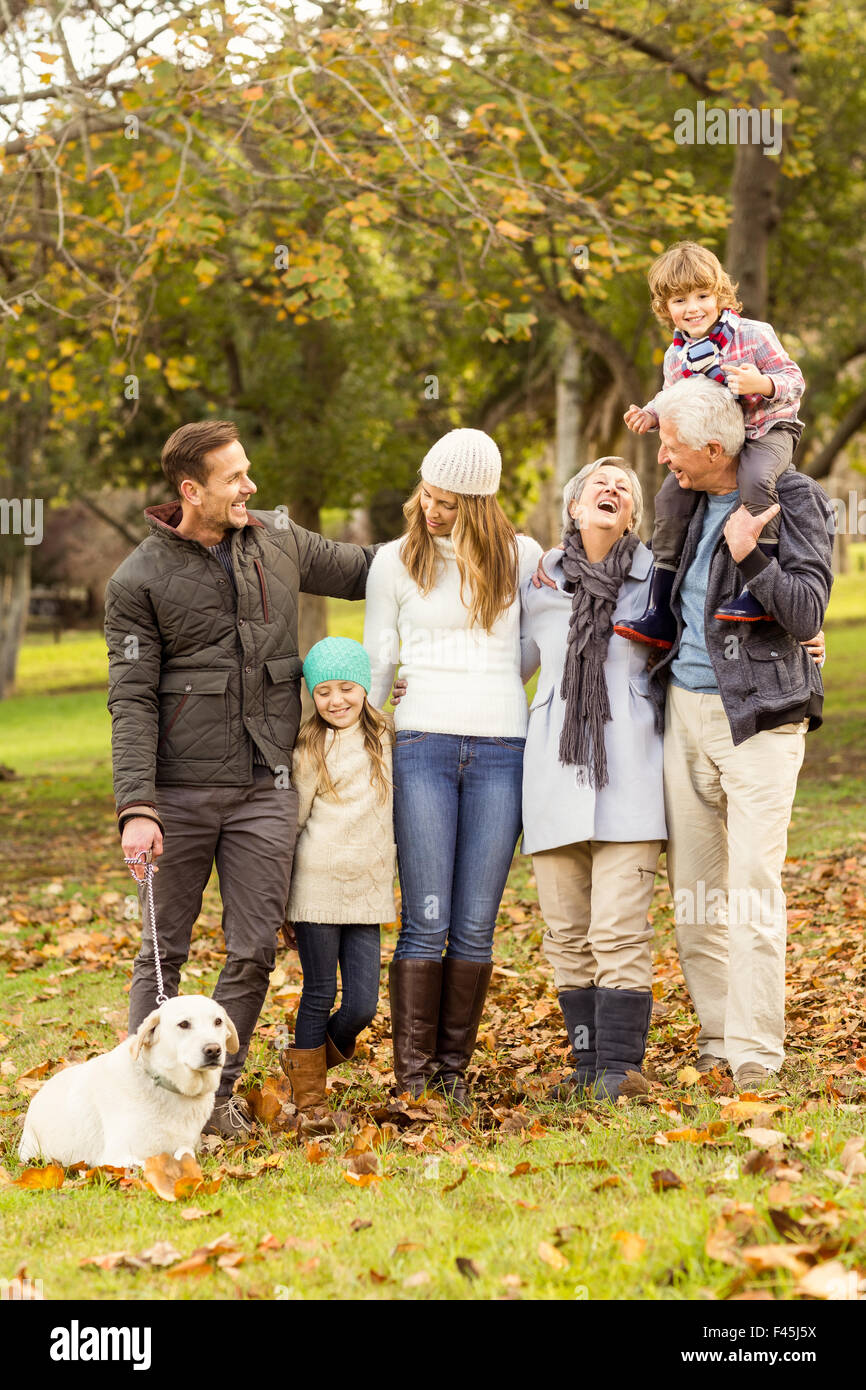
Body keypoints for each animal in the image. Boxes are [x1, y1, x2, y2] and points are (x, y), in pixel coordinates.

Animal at [18, 995, 239, 1167]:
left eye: (218, 1021)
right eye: (184, 1024)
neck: (163, 1084)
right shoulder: (116, 1157)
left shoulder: (186, 1145)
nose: (214, 1050)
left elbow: (185, 1154)